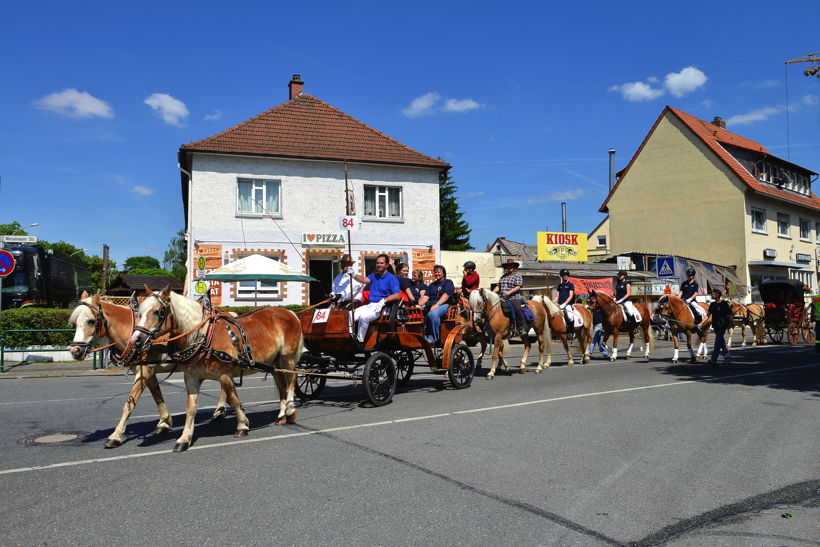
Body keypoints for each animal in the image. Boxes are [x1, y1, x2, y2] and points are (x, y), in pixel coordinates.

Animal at [69, 294, 229, 448]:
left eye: (91, 321)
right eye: (75, 323)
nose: (75, 350)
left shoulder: (144, 372)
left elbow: (129, 404)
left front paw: (115, 436)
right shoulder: (148, 372)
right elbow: (157, 396)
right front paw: (164, 423)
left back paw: (219, 411)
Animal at [130, 288, 302, 452]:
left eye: (158, 311)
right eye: (139, 313)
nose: (135, 339)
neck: (203, 336)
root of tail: (290, 312)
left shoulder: (225, 375)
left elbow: (233, 400)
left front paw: (242, 425)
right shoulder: (191, 378)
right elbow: (191, 408)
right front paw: (184, 438)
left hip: (287, 358)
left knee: (292, 379)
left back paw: (290, 410)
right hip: (275, 363)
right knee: (281, 386)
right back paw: (281, 415)